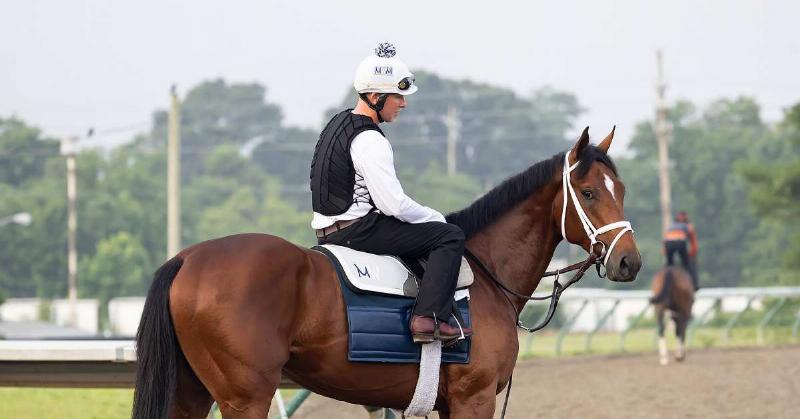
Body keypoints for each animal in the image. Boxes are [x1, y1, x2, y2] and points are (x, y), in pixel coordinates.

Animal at [132, 127, 641, 419]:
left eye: (622, 189)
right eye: (590, 193)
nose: (629, 261)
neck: (486, 275)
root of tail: (187, 259)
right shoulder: (473, 399)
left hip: (192, 392)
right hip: (246, 397)